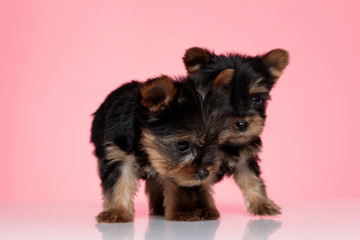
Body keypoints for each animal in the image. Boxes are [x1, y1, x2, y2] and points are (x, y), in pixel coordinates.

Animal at [91, 71, 232, 223]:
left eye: (215, 143)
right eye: (182, 144)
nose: (205, 173)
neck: (146, 149)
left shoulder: (177, 172)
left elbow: (180, 185)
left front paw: (183, 211)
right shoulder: (118, 155)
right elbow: (118, 183)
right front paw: (117, 212)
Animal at [183, 47, 290, 216]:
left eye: (256, 100)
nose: (242, 123)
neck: (226, 144)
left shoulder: (245, 158)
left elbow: (252, 180)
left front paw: (262, 204)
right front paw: (203, 210)